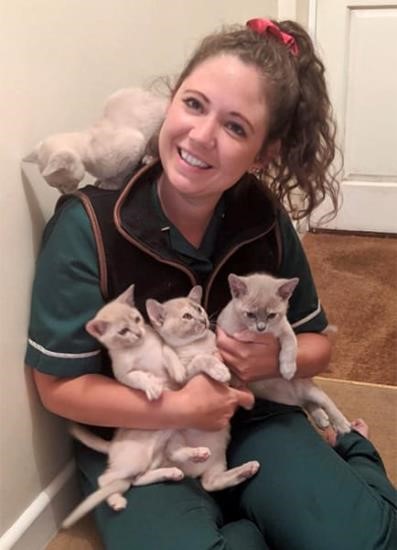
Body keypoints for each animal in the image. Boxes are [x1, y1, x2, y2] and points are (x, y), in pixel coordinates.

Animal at [217, 274, 350, 438]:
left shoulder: (285, 328)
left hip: (310, 390)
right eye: (250, 314)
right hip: (301, 397)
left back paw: (341, 423)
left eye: (272, 315)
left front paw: (288, 368)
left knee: (326, 401)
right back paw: (320, 417)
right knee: (308, 403)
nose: (261, 328)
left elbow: (291, 343)